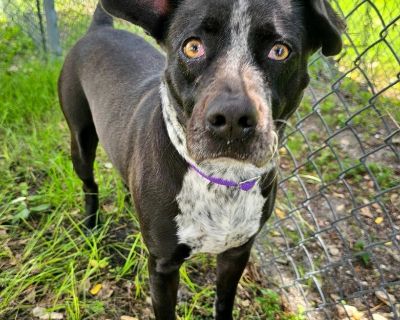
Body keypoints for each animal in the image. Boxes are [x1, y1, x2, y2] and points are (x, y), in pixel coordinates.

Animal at [58, 1, 344, 318]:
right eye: (193, 47)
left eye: (279, 51)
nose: (232, 118)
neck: (223, 178)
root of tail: (100, 28)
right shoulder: (163, 267)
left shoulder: (237, 253)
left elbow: (224, 301)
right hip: (80, 140)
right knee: (89, 184)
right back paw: (91, 225)